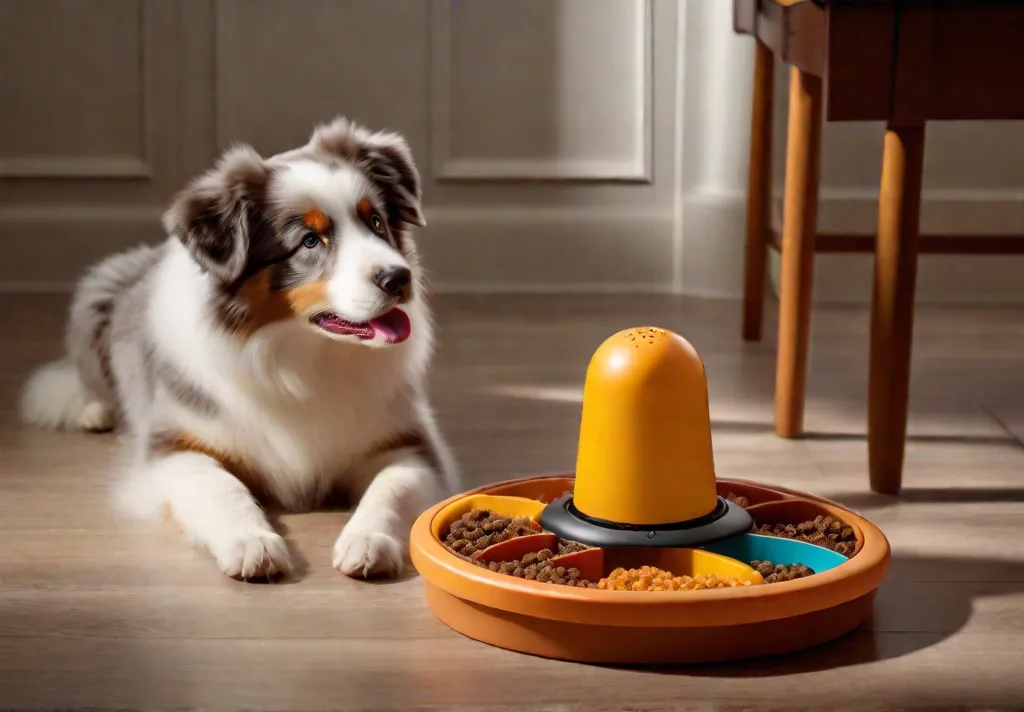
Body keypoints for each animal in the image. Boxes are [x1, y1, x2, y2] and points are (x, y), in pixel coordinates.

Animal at [18, 116, 458, 581]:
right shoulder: (176, 445)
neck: (300, 354)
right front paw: (252, 544)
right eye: (309, 241)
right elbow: (220, 487)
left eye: (375, 221)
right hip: (97, 291)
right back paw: (96, 412)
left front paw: (368, 541)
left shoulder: (407, 440)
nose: (399, 278)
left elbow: (392, 486)